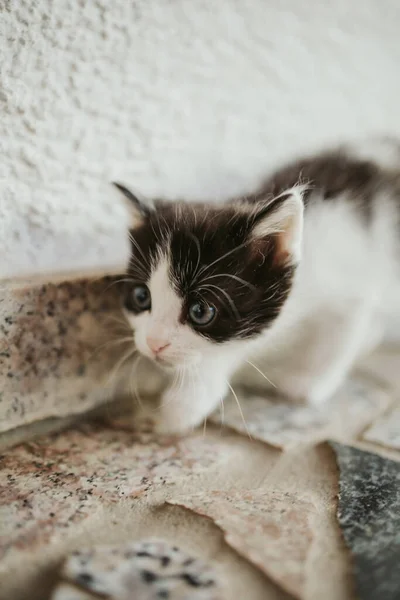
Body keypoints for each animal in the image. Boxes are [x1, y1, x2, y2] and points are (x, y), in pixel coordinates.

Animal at [114, 138, 400, 434]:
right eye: (141, 297)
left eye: (200, 311)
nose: (154, 343)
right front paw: (177, 405)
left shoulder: (351, 285)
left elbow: (339, 338)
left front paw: (308, 383)